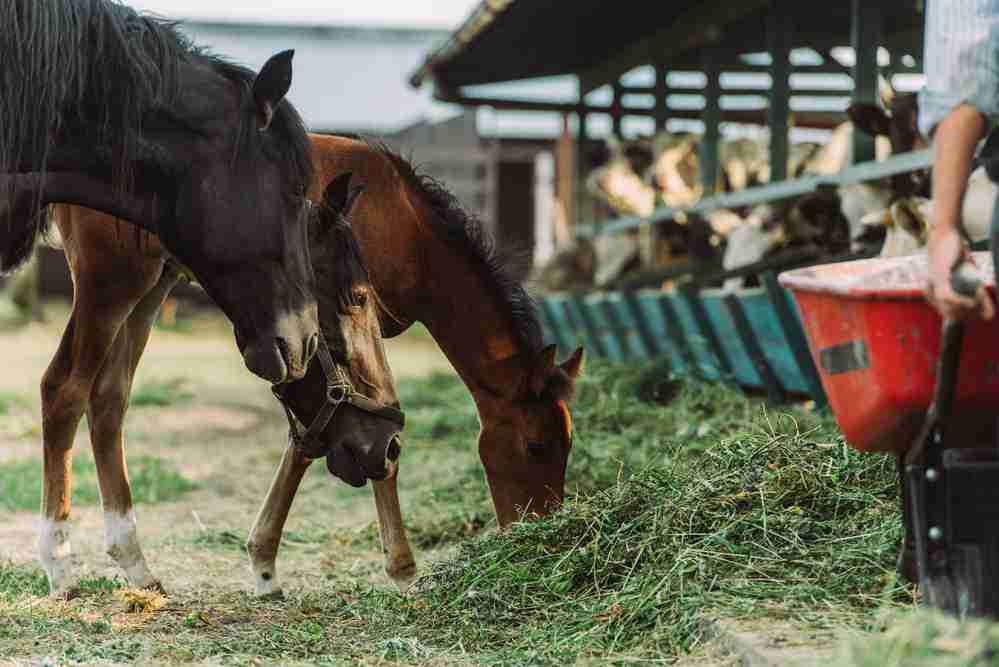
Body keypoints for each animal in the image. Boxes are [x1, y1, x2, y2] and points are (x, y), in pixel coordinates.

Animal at [38, 175, 402, 598]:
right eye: (358, 298)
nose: (391, 443)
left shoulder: (151, 279)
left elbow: (111, 395)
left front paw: (130, 560)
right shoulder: (108, 276)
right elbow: (64, 390)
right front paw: (60, 565)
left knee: (108, 399)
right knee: (65, 390)